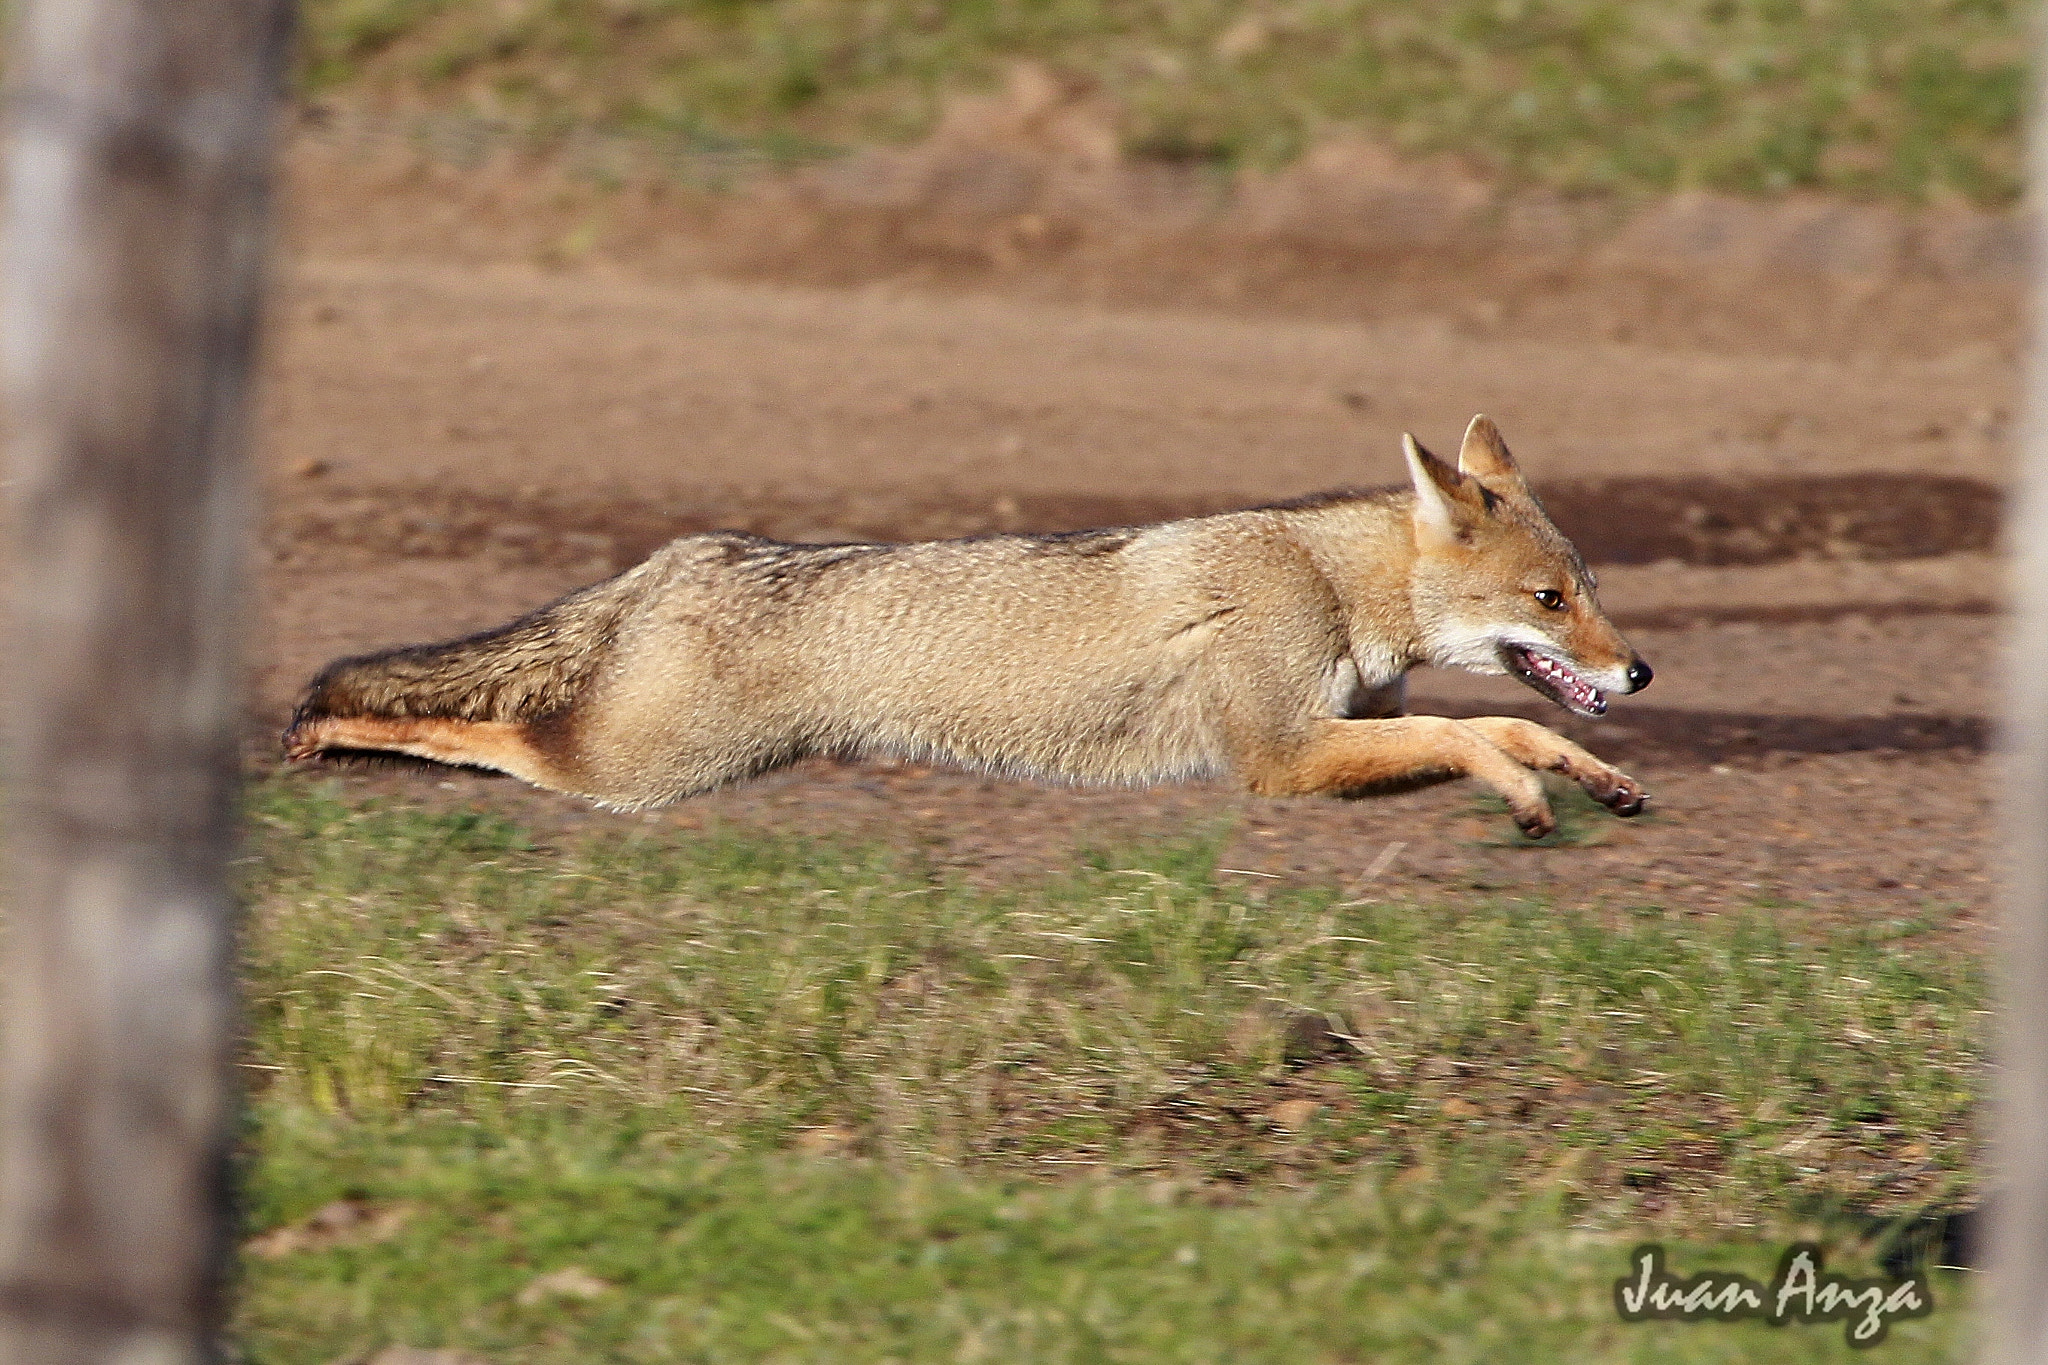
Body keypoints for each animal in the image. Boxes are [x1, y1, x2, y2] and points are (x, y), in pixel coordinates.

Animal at [284, 415, 1653, 837]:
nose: (1639, 669)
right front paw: (1523, 796)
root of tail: (684, 554)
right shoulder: (1277, 758)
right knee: (480, 735)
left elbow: (1503, 731)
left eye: (1585, 588)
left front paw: (1586, 775)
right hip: (633, 772)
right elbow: (1469, 735)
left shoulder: (1331, 733)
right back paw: (329, 738)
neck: (1316, 575)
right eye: (1550, 601)